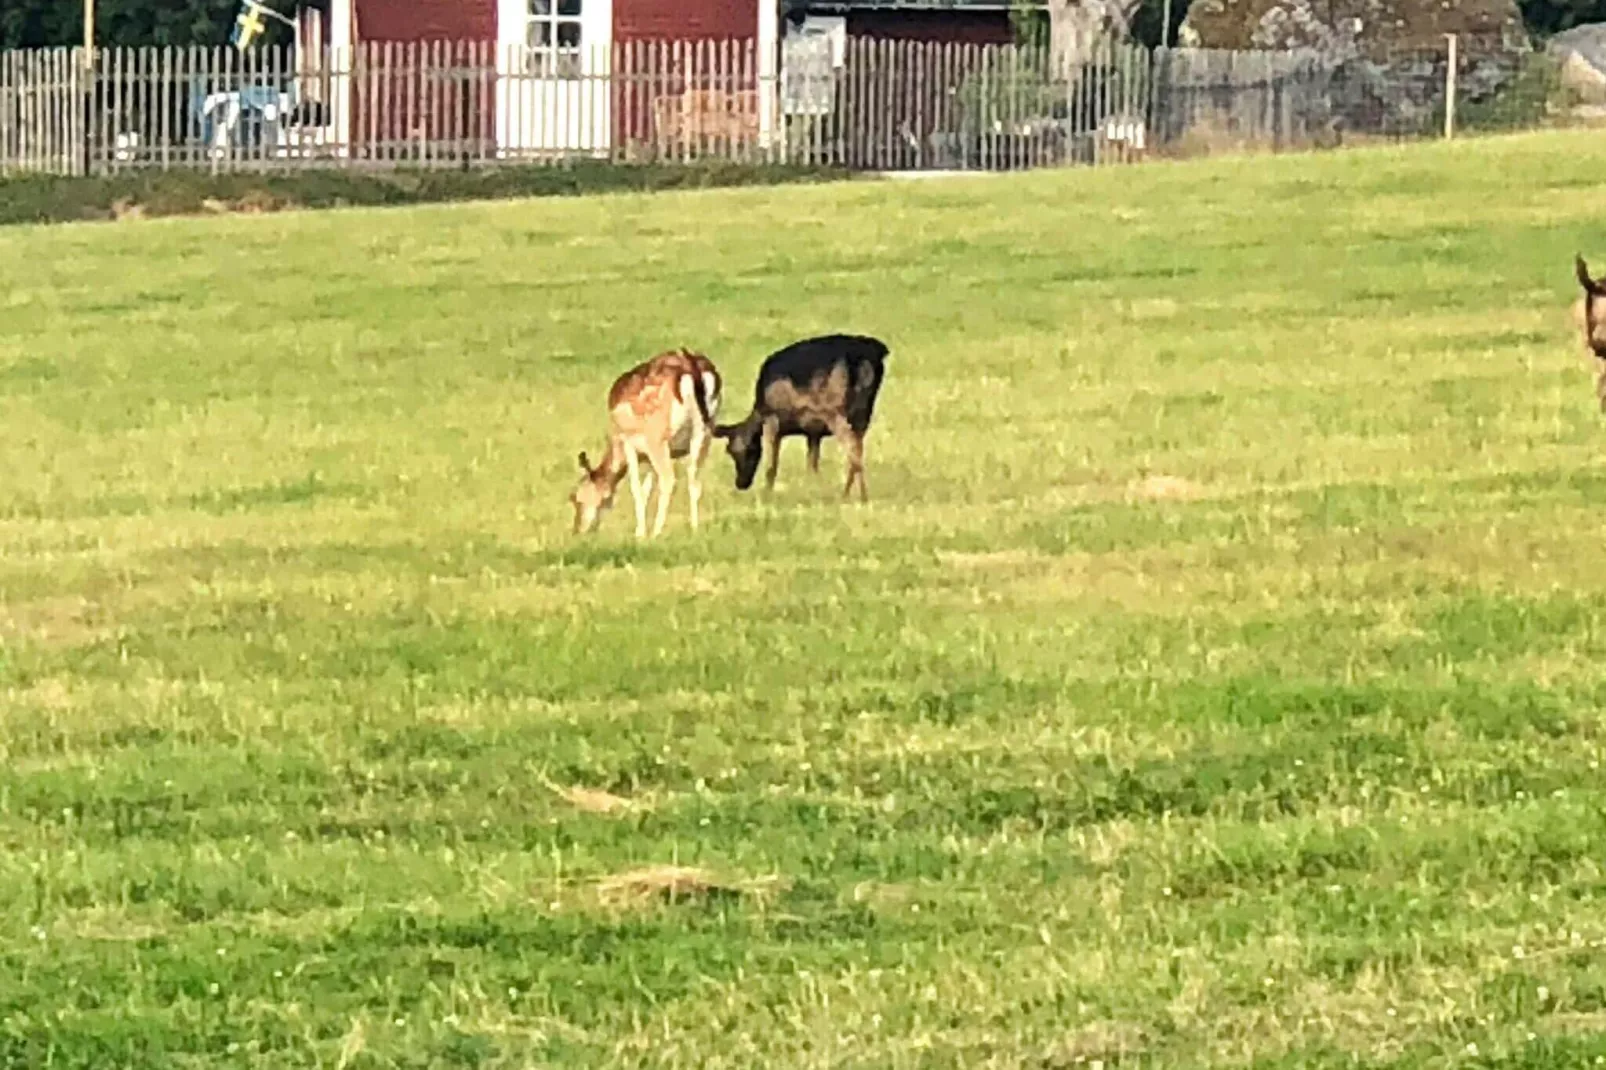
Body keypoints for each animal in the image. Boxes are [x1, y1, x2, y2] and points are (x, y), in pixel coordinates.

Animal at [571, 348, 722, 536]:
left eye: (576, 498)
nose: (577, 530)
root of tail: (691, 368)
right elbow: (647, 488)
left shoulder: (628, 441)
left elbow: (636, 488)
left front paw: (640, 534)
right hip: (705, 431)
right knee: (694, 481)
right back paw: (694, 529)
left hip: (657, 436)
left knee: (668, 479)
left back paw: (657, 532)